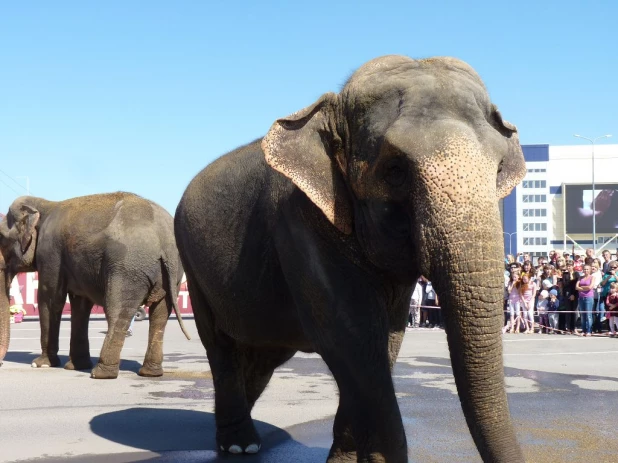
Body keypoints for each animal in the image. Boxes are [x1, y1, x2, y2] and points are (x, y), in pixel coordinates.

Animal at [0, 190, 188, 378]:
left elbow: (50, 300)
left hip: (128, 268)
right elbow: (80, 305)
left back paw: (101, 373)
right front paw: (76, 366)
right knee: (160, 315)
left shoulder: (49, 252)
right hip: (172, 274)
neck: (45, 205)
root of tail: (165, 239)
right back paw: (150, 372)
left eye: (1, 237)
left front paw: (41, 364)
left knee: (118, 312)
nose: (2, 362)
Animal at [173, 55, 524, 463]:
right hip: (192, 264)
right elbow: (352, 336)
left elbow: (385, 340)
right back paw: (239, 444)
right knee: (222, 346)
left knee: (262, 354)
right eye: (395, 170)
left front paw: (347, 459)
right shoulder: (302, 221)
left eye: (498, 169)